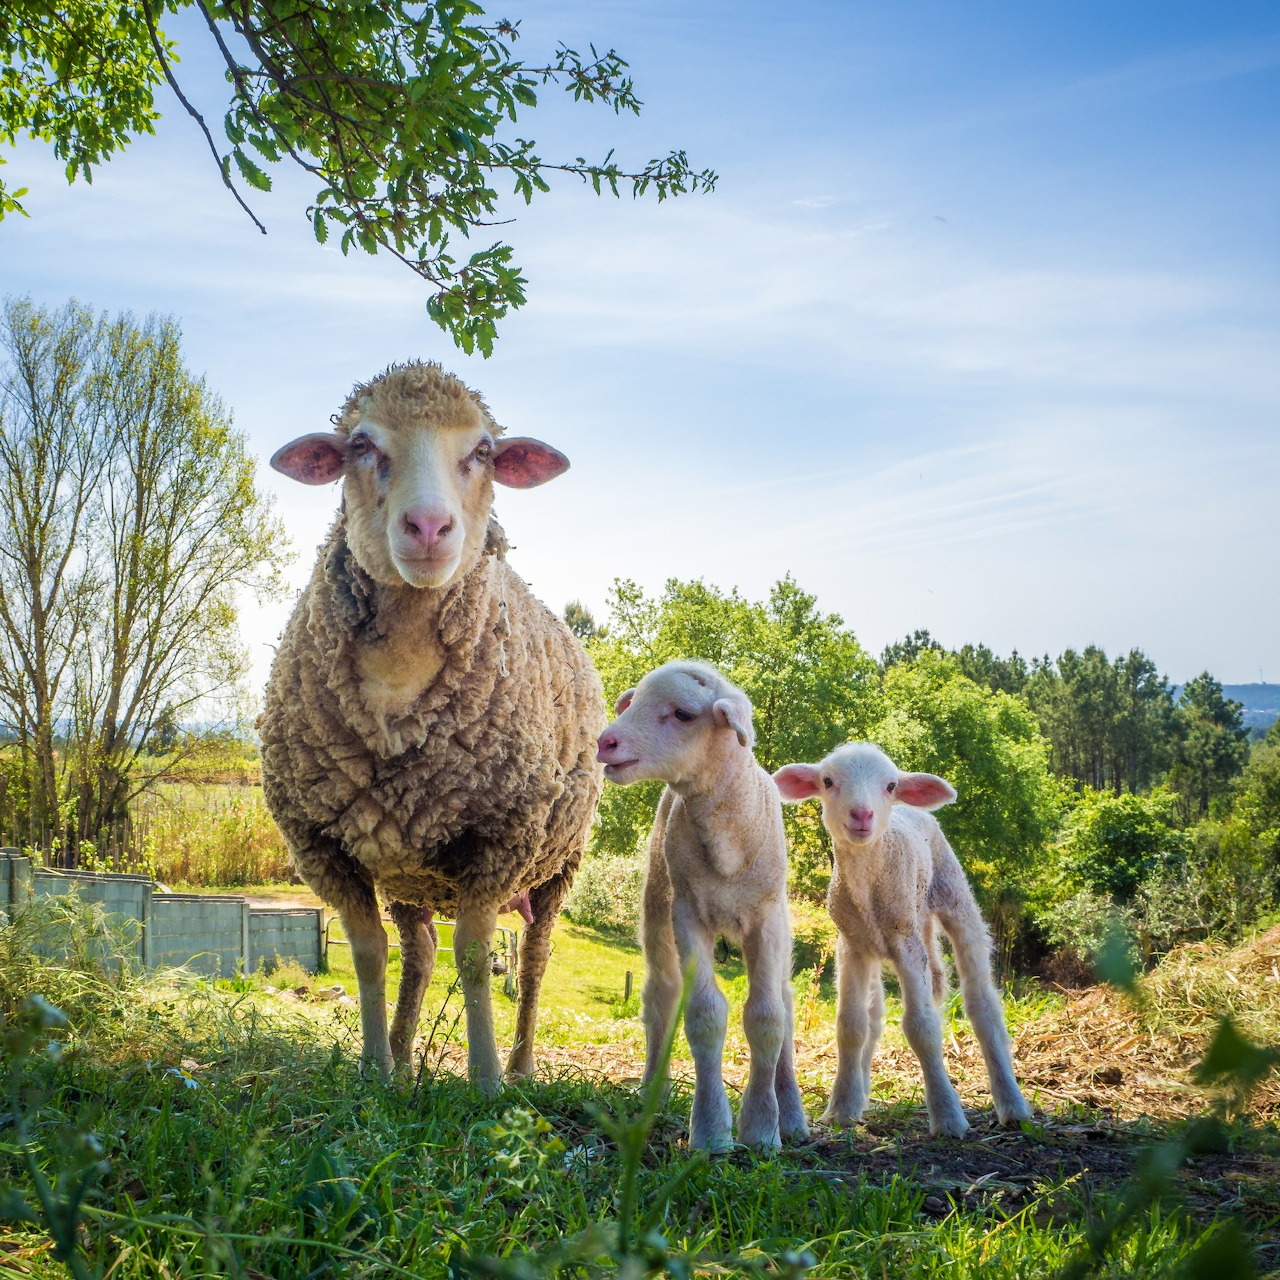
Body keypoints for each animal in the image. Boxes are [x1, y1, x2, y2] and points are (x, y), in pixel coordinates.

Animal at [259, 361, 604, 1091]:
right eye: (361, 444)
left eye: (483, 451)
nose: (427, 525)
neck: (399, 674)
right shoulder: (323, 845)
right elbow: (369, 954)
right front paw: (371, 1072)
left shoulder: (500, 839)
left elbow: (475, 957)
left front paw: (487, 1081)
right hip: (406, 861)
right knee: (416, 950)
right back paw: (400, 1058)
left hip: (557, 864)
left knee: (534, 958)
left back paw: (523, 1066)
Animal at [596, 660, 809, 1152]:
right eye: (633, 702)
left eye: (683, 714)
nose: (605, 742)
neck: (726, 839)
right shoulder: (688, 914)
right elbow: (704, 1016)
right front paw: (712, 1130)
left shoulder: (766, 919)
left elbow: (769, 1018)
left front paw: (763, 1128)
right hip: (659, 900)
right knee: (661, 993)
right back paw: (652, 1089)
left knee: (786, 1003)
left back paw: (791, 1112)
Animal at [773, 743, 1031, 1137]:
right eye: (828, 781)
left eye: (890, 785)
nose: (862, 814)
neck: (870, 883)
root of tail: (914, 810)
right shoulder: (853, 945)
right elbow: (851, 1025)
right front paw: (842, 1109)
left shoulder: (906, 944)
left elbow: (921, 1027)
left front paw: (947, 1116)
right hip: (903, 929)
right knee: (878, 1013)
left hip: (952, 893)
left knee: (981, 1004)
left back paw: (1012, 1105)